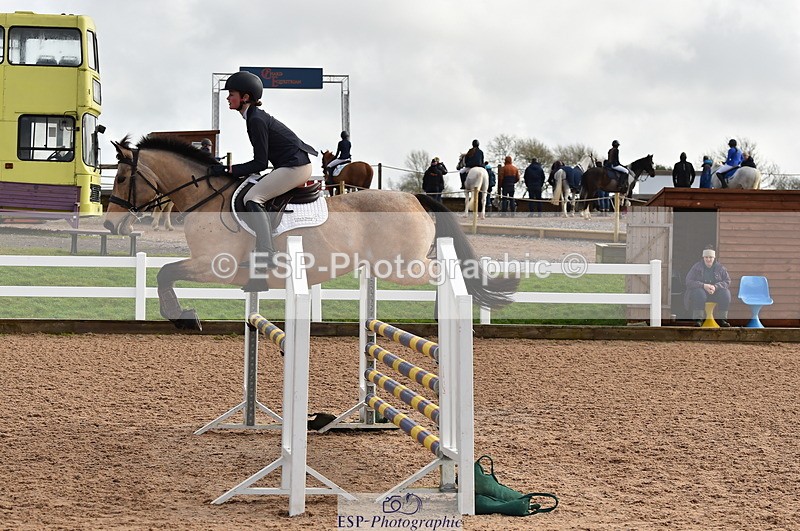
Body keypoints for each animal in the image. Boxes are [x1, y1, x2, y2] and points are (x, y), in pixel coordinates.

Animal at [103, 135, 519, 331]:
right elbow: (165, 273)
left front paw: (182, 315)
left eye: (121, 177)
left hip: (402, 267)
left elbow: (164, 272)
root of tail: (414, 197)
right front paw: (182, 314)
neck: (207, 198)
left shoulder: (212, 265)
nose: (109, 223)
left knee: (447, 275)